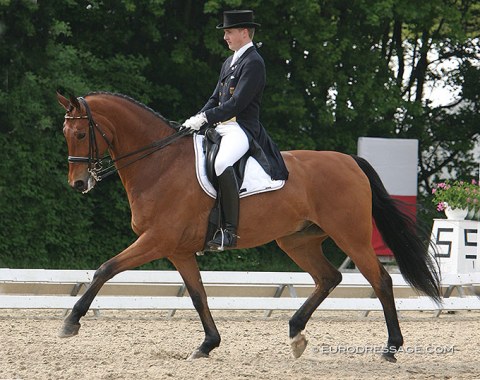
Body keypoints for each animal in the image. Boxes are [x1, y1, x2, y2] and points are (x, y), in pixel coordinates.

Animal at [55, 91, 438, 362]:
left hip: (351, 236)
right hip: (297, 241)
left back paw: (391, 348)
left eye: (80, 133)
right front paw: (208, 345)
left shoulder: (157, 240)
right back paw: (296, 333)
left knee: (380, 280)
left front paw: (70, 323)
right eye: (65, 133)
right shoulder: (178, 250)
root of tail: (350, 161)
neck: (159, 163)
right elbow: (197, 295)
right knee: (329, 277)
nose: (78, 183)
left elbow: (105, 269)